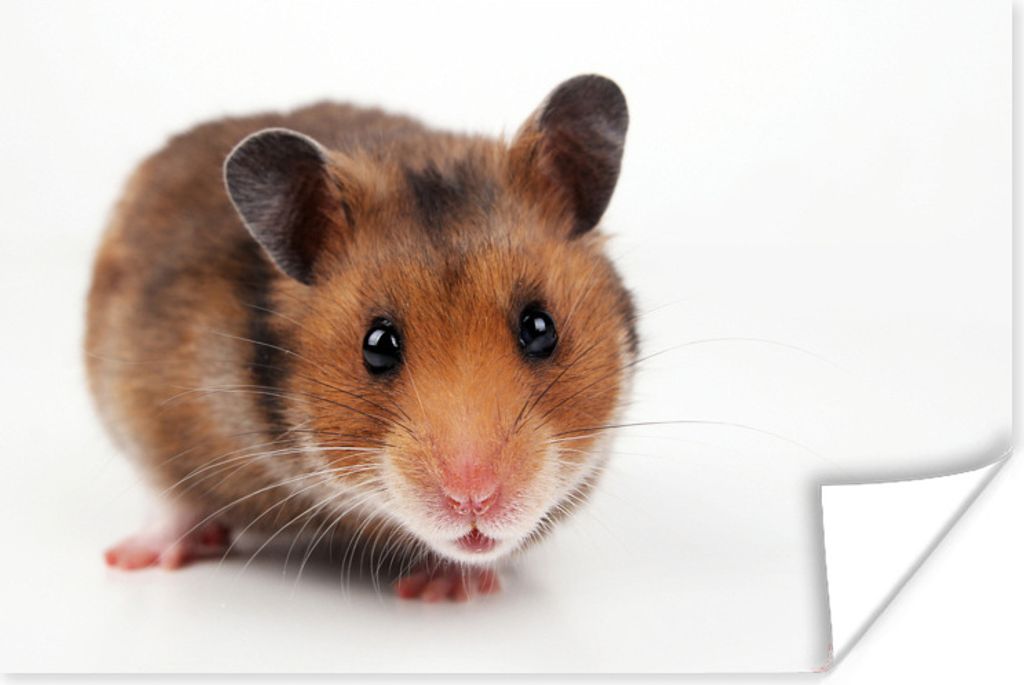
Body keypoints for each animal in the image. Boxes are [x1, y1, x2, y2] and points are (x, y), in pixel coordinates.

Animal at [85, 75, 637, 601]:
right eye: (377, 346)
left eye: (540, 329)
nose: (474, 500)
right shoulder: (142, 402)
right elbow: (170, 496)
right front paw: (127, 560)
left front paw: (441, 592)